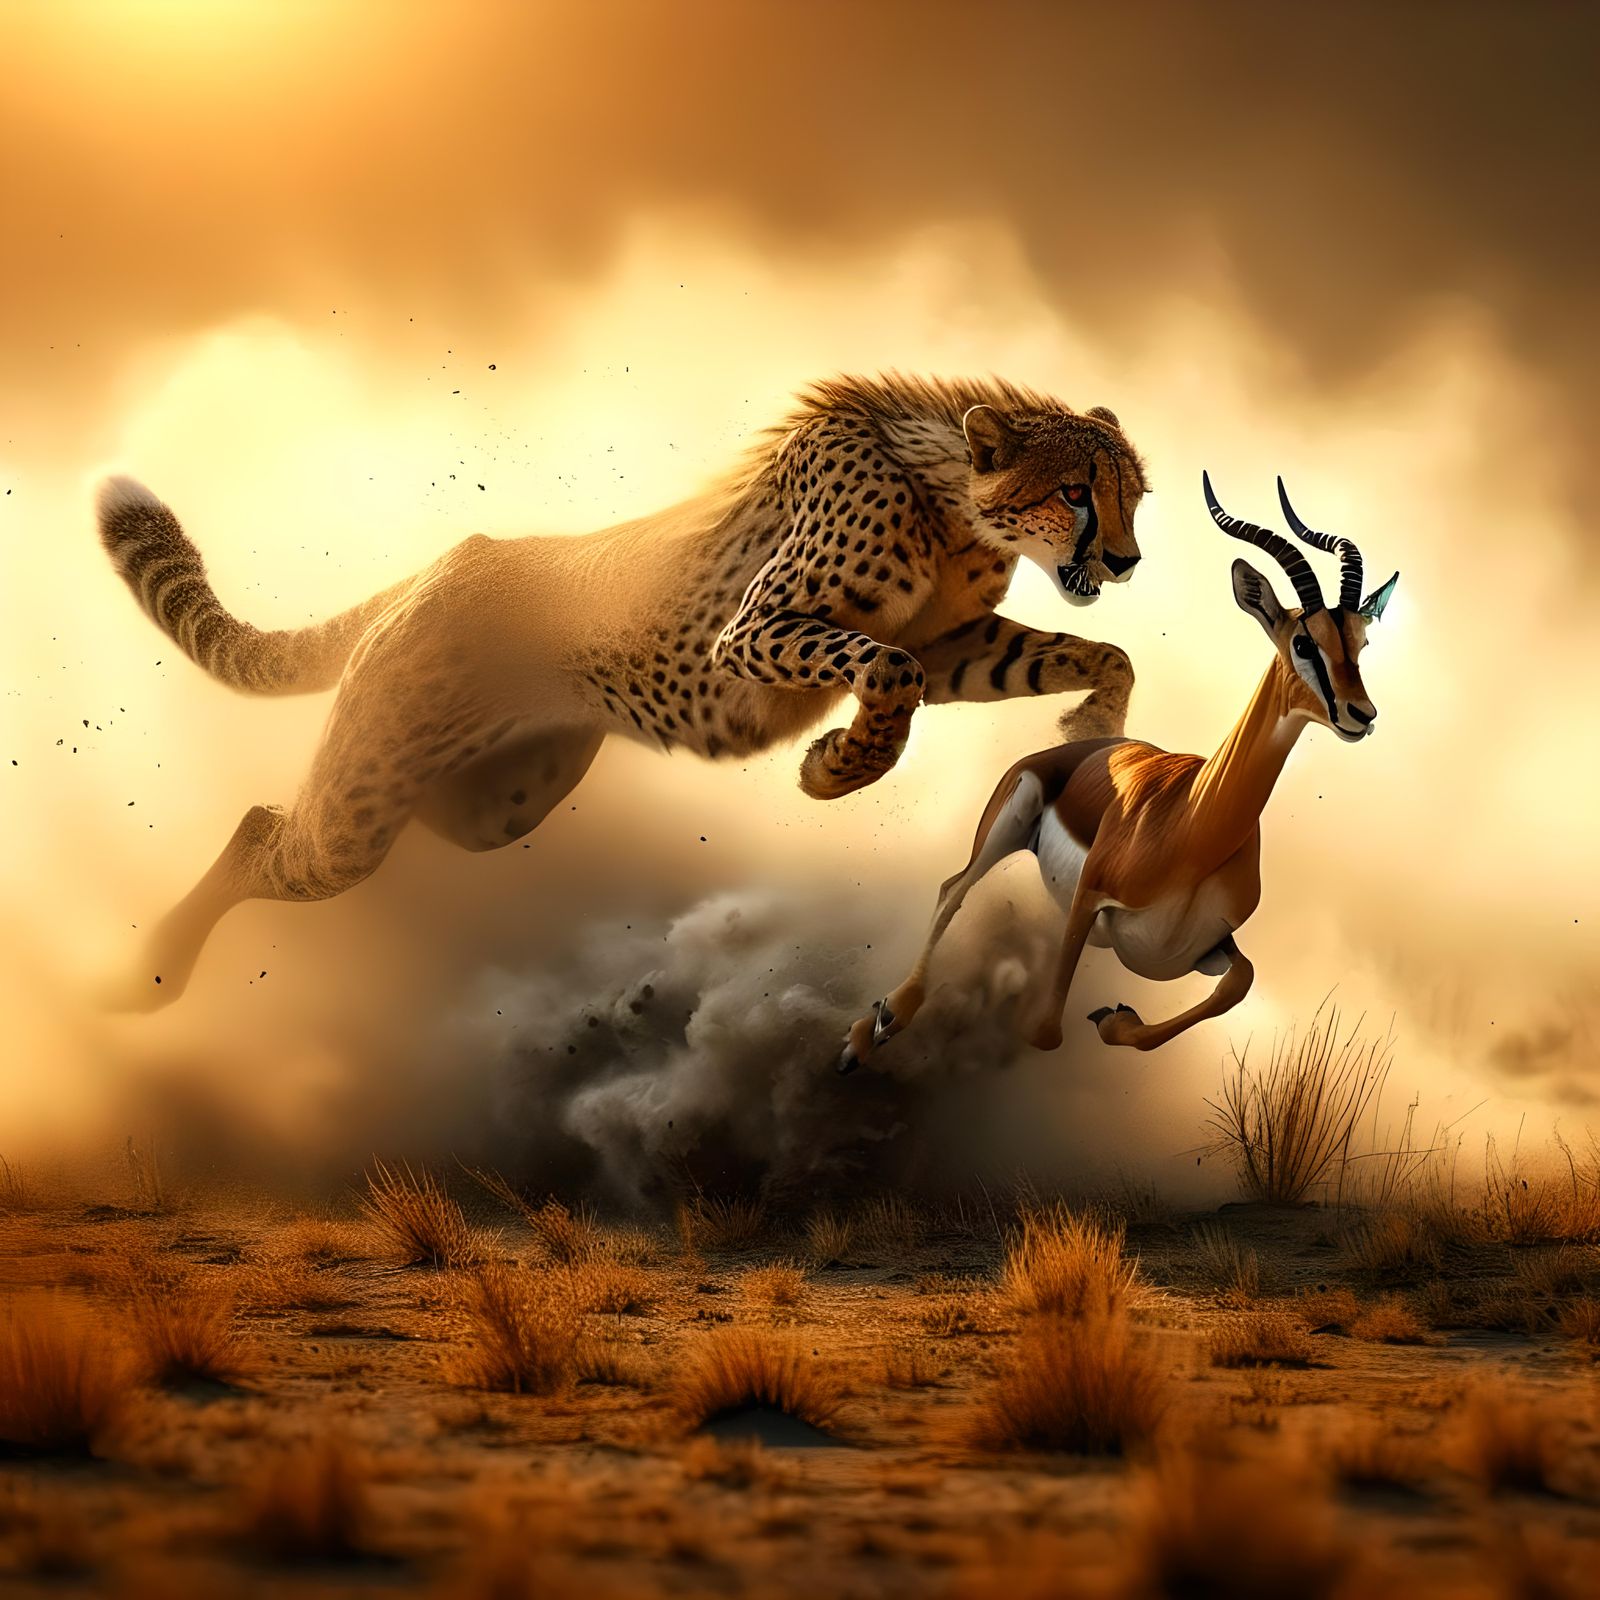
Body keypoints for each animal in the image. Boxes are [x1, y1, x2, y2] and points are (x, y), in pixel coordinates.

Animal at [95, 372, 1148, 1008]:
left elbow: (1095, 655)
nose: (1128, 561)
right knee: (264, 830)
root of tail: (448, 559)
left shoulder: (951, 642)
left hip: (495, 808)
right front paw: (832, 768)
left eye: (1132, 495)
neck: (952, 501)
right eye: (1075, 492)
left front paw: (1093, 730)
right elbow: (886, 673)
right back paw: (151, 976)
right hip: (361, 808)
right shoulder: (756, 633)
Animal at [838, 475, 1399, 1070]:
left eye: (1362, 641)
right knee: (953, 888)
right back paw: (873, 1028)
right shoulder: (1088, 897)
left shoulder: (1200, 948)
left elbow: (1239, 980)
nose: (1362, 714)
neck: (1193, 831)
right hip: (1008, 822)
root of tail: (1086, 748)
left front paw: (1114, 1015)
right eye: (1303, 642)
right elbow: (1045, 1030)